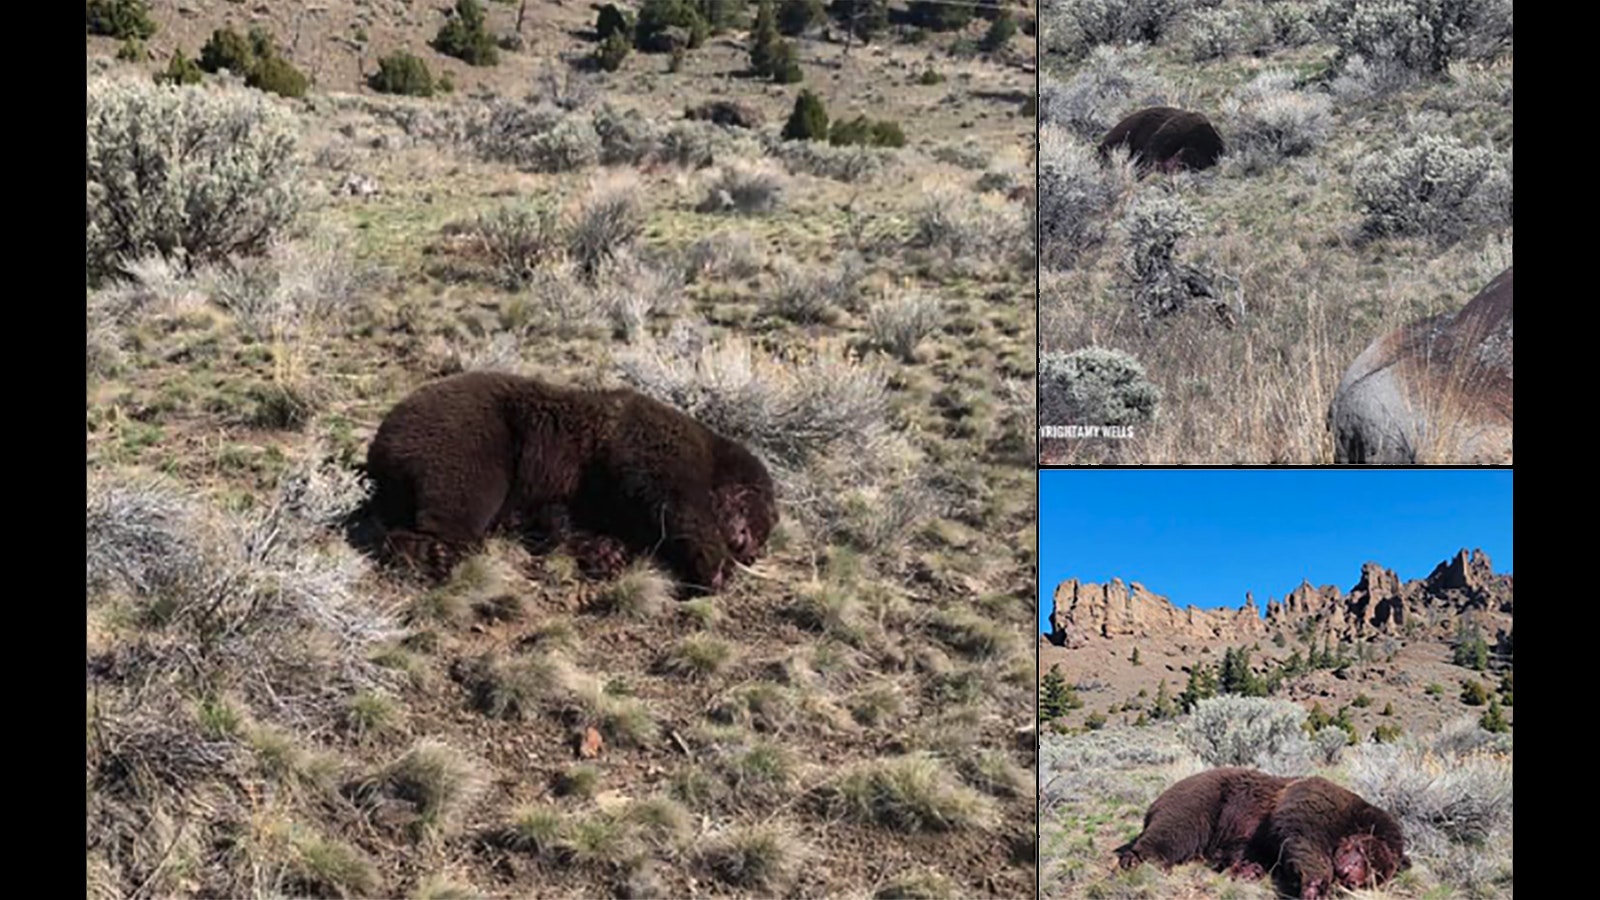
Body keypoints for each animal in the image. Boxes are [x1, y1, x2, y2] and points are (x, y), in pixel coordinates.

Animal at [361, 370, 778, 596]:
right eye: (756, 522)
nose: (750, 550)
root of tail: (379, 445)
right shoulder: (656, 447)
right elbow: (676, 505)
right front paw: (715, 566)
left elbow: (563, 520)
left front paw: (605, 551)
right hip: (469, 439)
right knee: (457, 501)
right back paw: (436, 553)